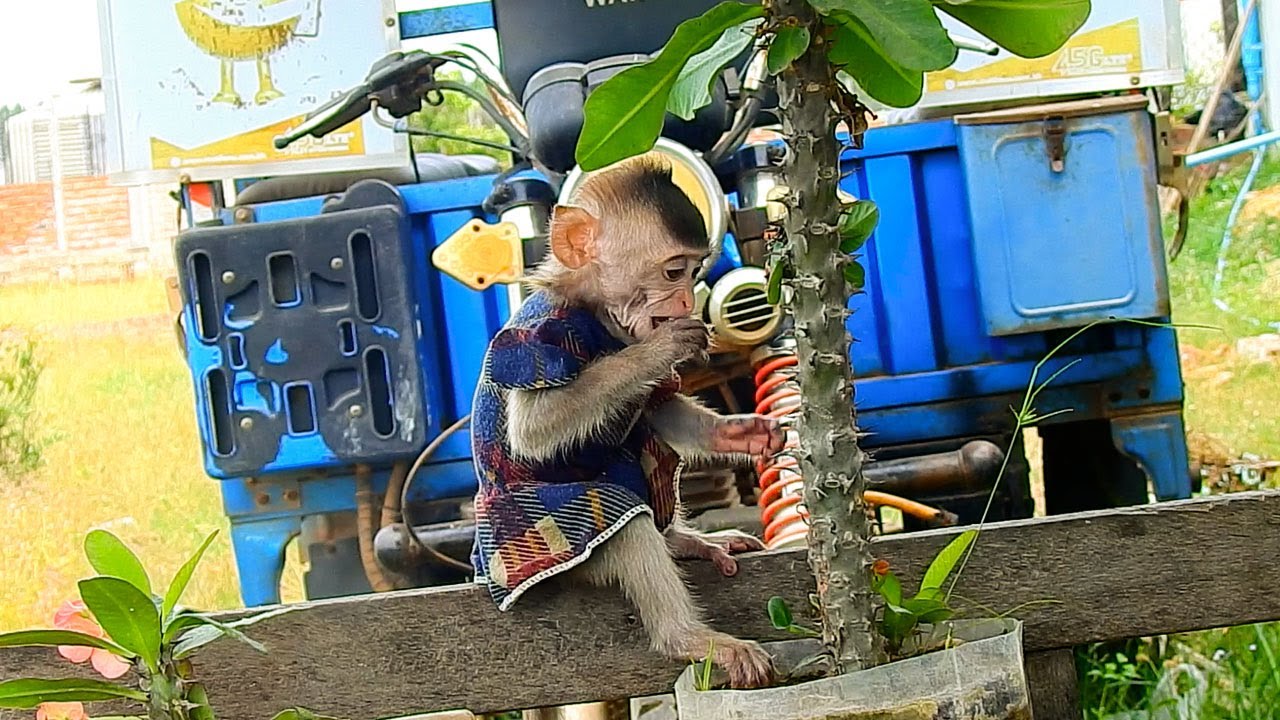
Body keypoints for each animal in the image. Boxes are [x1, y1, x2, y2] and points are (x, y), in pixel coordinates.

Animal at [468, 153, 785, 688]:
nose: (686, 302)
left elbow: (658, 405)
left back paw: (685, 539)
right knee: (620, 520)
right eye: (674, 271)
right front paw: (659, 349)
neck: (595, 311)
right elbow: (534, 429)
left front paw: (740, 432)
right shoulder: (538, 338)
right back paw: (689, 638)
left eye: (694, 271)